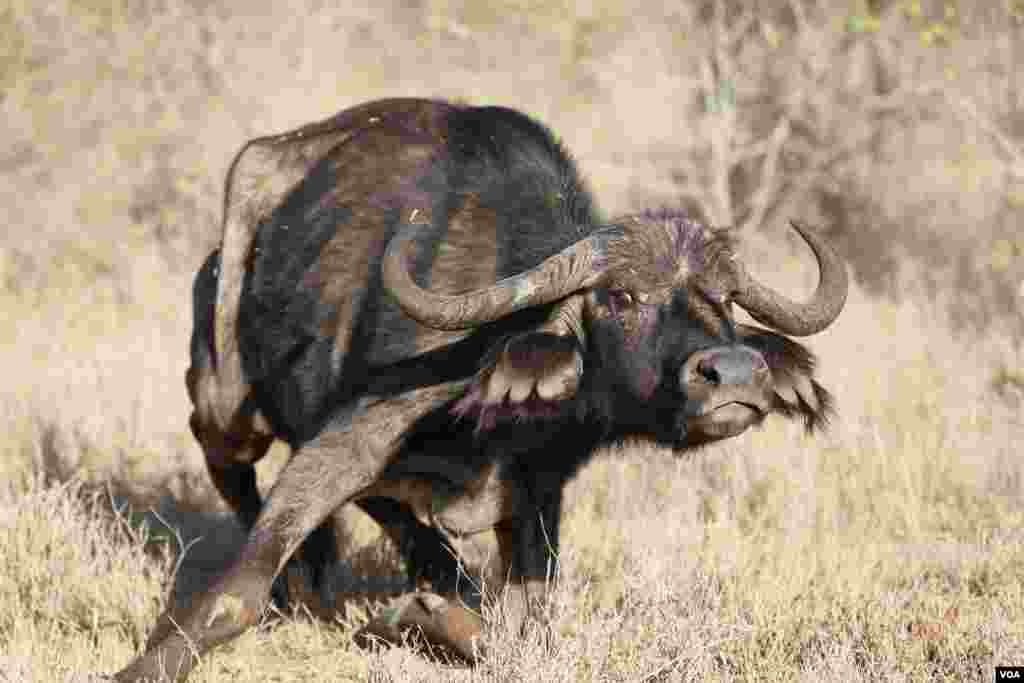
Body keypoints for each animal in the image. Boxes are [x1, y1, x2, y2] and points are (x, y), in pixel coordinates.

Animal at [115, 97, 846, 681]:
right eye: (621, 297)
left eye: (725, 299)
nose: (735, 374)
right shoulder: (345, 442)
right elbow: (234, 595)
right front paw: (143, 666)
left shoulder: (538, 490)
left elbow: (522, 633)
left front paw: (412, 614)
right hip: (225, 400)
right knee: (230, 458)